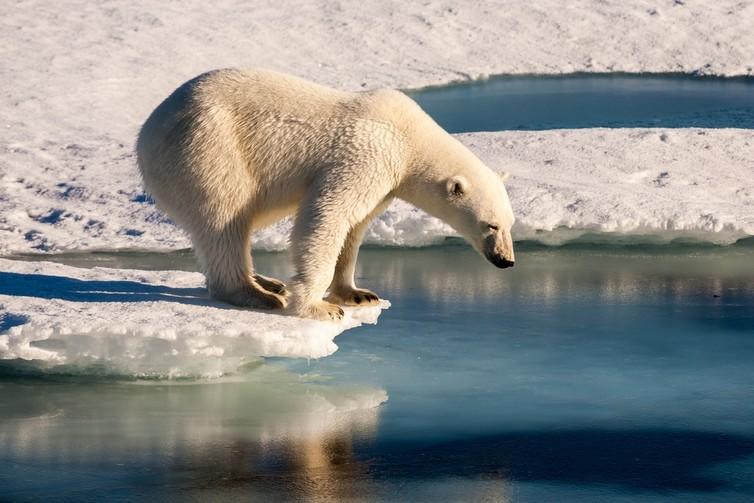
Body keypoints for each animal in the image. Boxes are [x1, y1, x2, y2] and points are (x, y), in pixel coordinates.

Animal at [137, 69, 512, 320]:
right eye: (490, 225)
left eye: (509, 224)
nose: (506, 260)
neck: (409, 138)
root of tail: (147, 133)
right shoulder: (365, 155)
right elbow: (329, 214)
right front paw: (318, 307)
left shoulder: (385, 183)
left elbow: (355, 228)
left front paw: (358, 294)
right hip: (208, 150)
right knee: (225, 218)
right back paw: (256, 294)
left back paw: (268, 282)